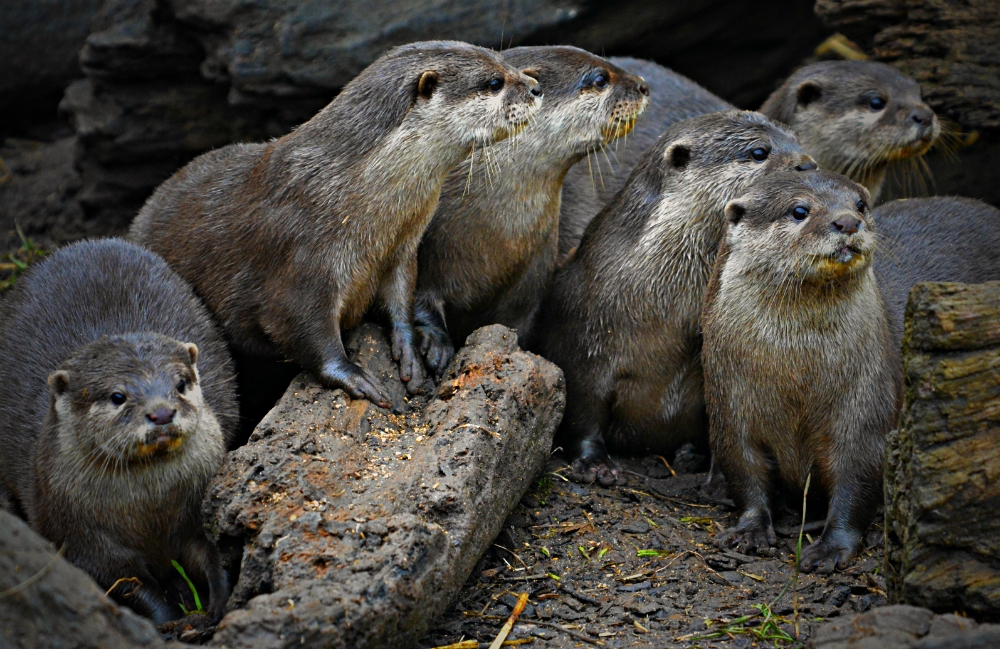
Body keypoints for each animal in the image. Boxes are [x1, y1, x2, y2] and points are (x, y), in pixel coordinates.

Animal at [0, 238, 237, 622]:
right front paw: (169, 620)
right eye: (117, 396)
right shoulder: (84, 539)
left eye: (180, 383)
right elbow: (127, 582)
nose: (161, 412)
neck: (150, 513)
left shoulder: (196, 512)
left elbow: (212, 553)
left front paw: (217, 600)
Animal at [130, 41, 541, 409]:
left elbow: (400, 299)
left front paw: (409, 351)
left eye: (507, 61)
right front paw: (353, 375)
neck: (349, 191)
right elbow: (299, 324)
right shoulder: (304, 256)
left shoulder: (401, 250)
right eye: (494, 82)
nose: (537, 87)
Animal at [536, 111, 816, 485]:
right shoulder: (582, 342)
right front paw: (595, 464)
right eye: (759, 152)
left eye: (796, 138)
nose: (809, 164)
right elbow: (583, 412)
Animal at [703, 170, 899, 573]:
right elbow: (744, 468)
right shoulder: (730, 405)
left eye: (861, 205)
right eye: (799, 211)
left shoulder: (866, 405)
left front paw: (830, 548)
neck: (797, 373)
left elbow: (857, 477)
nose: (848, 222)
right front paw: (750, 530)